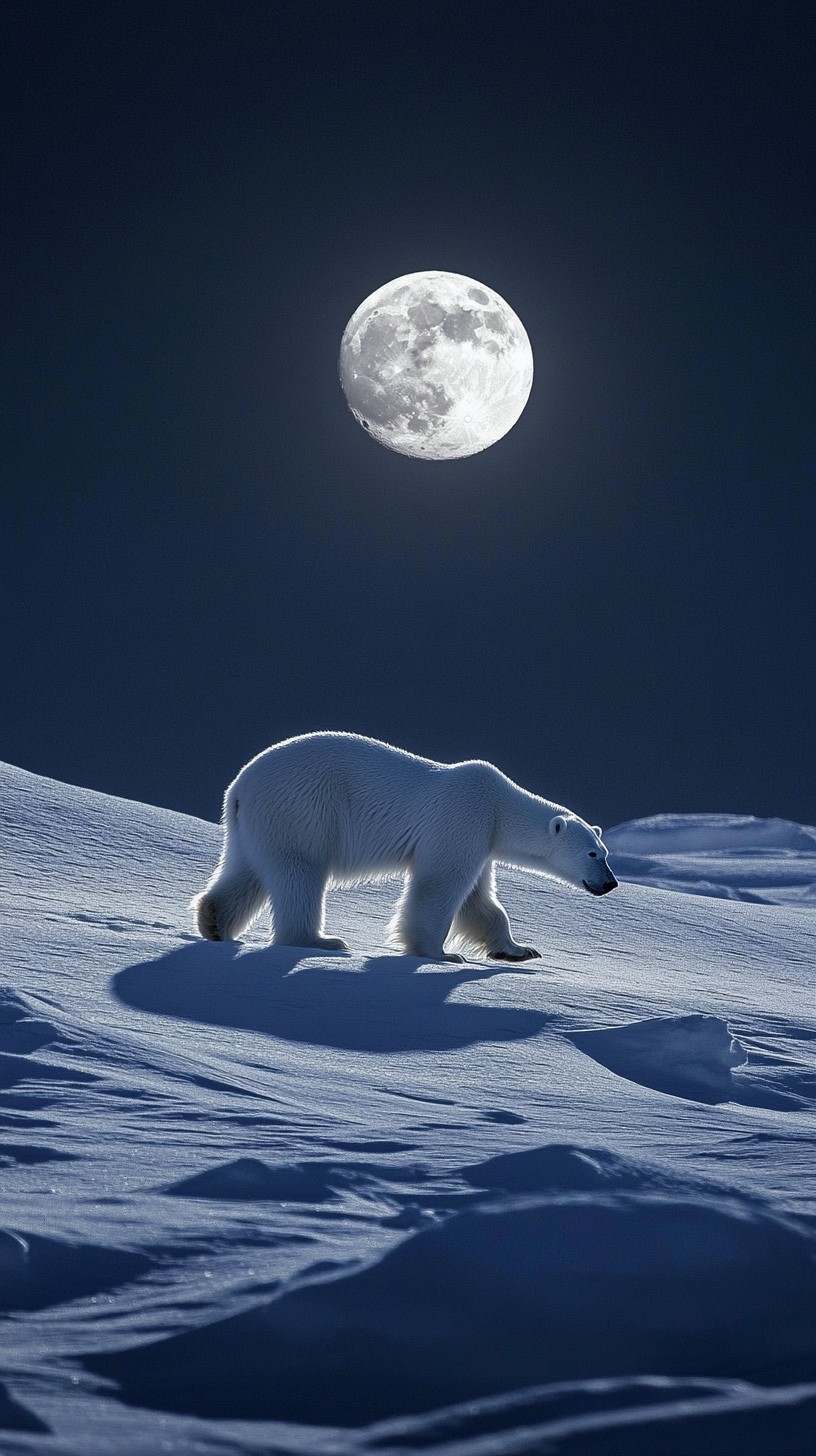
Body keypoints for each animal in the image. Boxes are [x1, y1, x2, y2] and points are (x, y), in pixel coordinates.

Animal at [192, 732, 618, 962]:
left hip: (252, 825)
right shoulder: (461, 821)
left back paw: (213, 921)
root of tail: (240, 787)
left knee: (245, 870)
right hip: (302, 810)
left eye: (606, 853)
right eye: (593, 854)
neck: (499, 806)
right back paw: (321, 940)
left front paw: (519, 949)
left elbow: (481, 902)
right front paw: (439, 953)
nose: (611, 883)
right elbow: (438, 886)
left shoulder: (481, 841)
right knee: (301, 872)